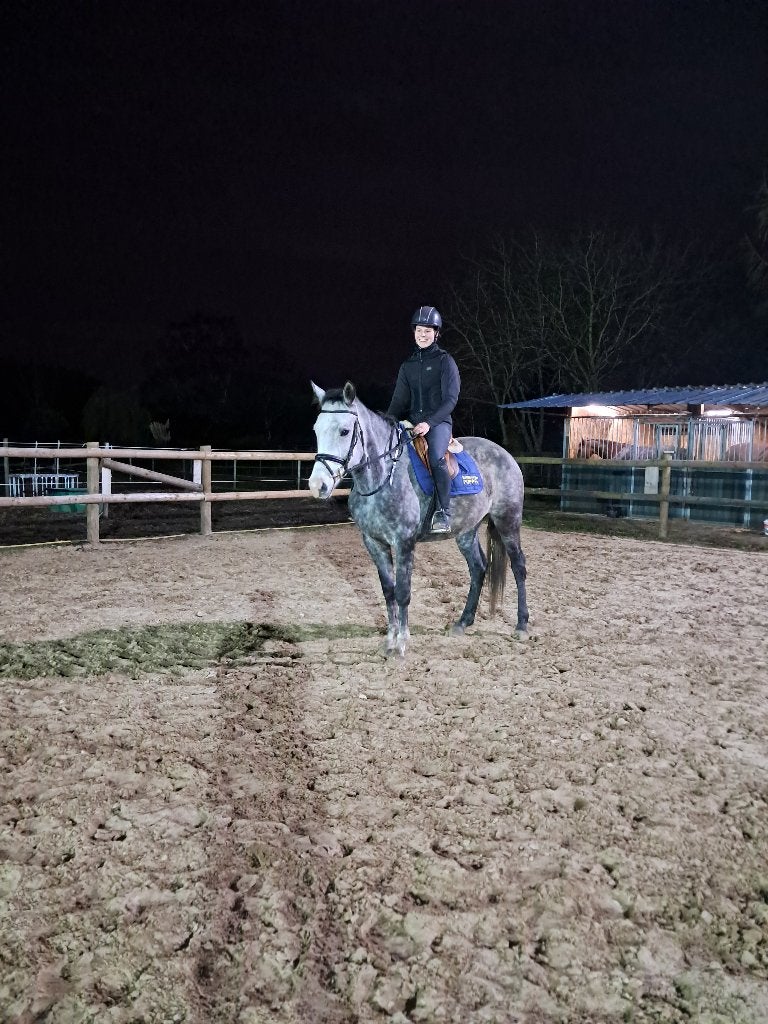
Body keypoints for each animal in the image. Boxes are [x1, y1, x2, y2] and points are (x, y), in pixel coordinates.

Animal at [307, 381, 529, 657]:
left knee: (518, 567)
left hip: (508, 521)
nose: (317, 485)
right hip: (466, 532)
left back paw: (521, 626)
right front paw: (389, 640)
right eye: (316, 430)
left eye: (344, 431)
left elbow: (403, 592)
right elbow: (388, 591)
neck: (383, 477)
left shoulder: (404, 543)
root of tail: (505, 454)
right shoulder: (374, 543)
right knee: (478, 568)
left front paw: (402, 642)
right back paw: (463, 622)